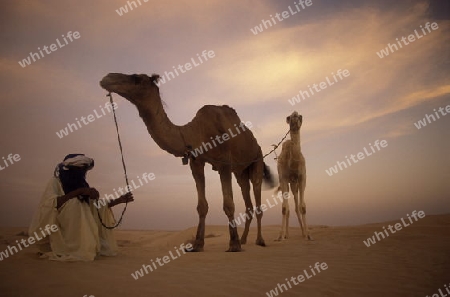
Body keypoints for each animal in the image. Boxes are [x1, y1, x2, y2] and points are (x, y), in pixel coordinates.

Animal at [99, 72, 274, 250]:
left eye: (136, 78)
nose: (108, 77)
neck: (196, 132)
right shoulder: (196, 161)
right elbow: (202, 206)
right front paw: (197, 244)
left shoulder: (224, 162)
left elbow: (228, 204)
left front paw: (234, 244)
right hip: (240, 172)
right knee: (247, 199)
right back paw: (245, 239)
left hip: (257, 160)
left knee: (257, 197)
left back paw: (260, 240)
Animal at [276, 111, 312, 240]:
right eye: (289, 117)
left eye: (300, 116)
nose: (295, 115)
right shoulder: (283, 179)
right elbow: (284, 208)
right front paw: (280, 236)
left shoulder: (302, 178)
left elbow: (303, 207)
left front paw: (308, 235)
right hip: (289, 183)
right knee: (289, 208)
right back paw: (286, 234)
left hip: (294, 184)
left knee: (297, 206)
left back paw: (303, 233)